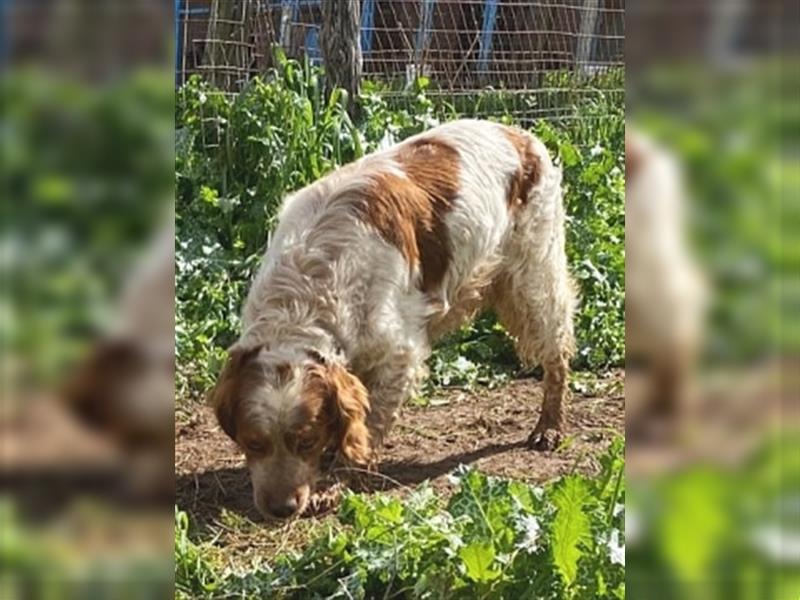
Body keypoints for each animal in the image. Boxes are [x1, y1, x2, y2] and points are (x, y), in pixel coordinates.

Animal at [212, 119, 576, 516]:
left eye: (305, 441)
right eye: (253, 442)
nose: (280, 509)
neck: (307, 293)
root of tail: (517, 132)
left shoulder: (398, 355)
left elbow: (366, 428)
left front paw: (335, 483)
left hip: (533, 279)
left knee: (557, 351)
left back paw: (549, 427)